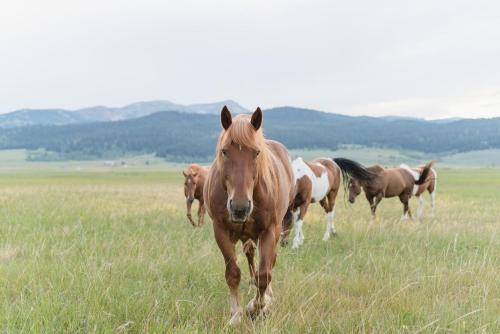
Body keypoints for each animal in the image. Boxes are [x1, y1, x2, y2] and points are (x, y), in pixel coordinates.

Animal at [204, 106, 296, 324]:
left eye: (256, 152)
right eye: (224, 151)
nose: (240, 208)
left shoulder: (269, 231)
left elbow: (265, 274)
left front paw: (257, 307)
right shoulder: (220, 230)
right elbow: (233, 273)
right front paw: (236, 314)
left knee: (269, 263)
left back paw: (267, 297)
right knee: (250, 254)